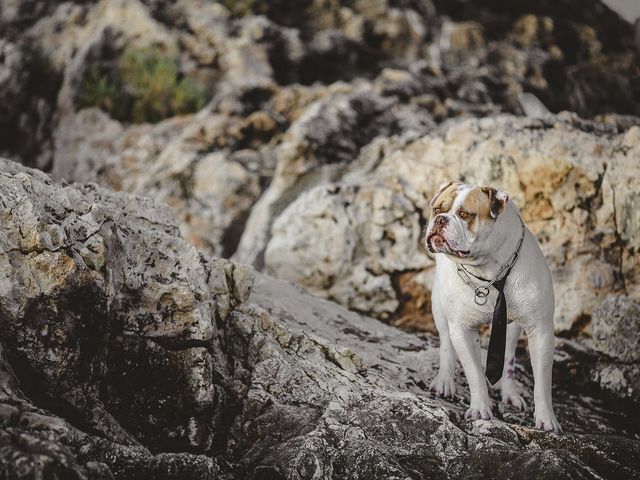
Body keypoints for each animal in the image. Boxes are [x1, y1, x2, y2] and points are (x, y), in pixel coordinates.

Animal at [424, 182, 560, 434]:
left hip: (512, 326)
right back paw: (445, 382)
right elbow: (475, 373)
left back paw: (510, 394)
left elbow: (542, 382)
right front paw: (480, 409)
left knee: (508, 357)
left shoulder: (541, 330)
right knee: (446, 343)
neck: (490, 270)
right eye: (437, 209)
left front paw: (547, 419)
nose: (440, 220)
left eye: (464, 214)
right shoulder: (462, 329)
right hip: (439, 306)